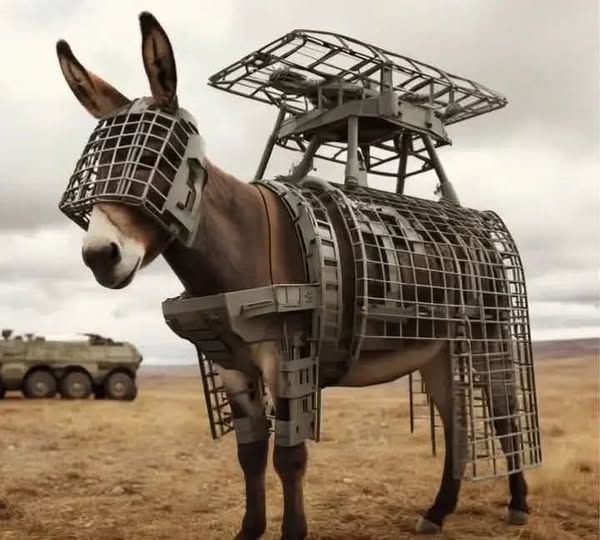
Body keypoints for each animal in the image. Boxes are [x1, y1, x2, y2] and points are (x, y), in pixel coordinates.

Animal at [55, 11, 530, 539]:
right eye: (94, 168)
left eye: (150, 158)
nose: (99, 256)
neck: (239, 247)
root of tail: (476, 228)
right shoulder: (232, 367)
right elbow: (249, 454)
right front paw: (249, 530)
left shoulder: (287, 356)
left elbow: (289, 457)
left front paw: (292, 530)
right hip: (438, 351)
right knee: (457, 424)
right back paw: (439, 510)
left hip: (486, 334)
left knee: (505, 412)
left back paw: (517, 503)